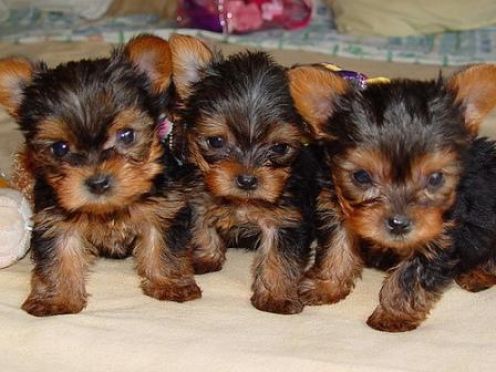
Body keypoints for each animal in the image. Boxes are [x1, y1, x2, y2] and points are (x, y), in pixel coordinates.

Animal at [0, 34, 202, 316]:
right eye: (60, 148)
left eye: (126, 135)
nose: (97, 182)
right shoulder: (55, 217)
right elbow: (59, 254)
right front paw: (56, 299)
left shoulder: (165, 206)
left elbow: (163, 244)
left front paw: (170, 283)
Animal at [288, 63, 496, 332]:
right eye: (362, 176)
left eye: (435, 178)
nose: (398, 223)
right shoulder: (338, 210)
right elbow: (336, 248)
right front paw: (325, 285)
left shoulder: (439, 237)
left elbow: (409, 278)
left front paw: (392, 316)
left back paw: (478, 273)